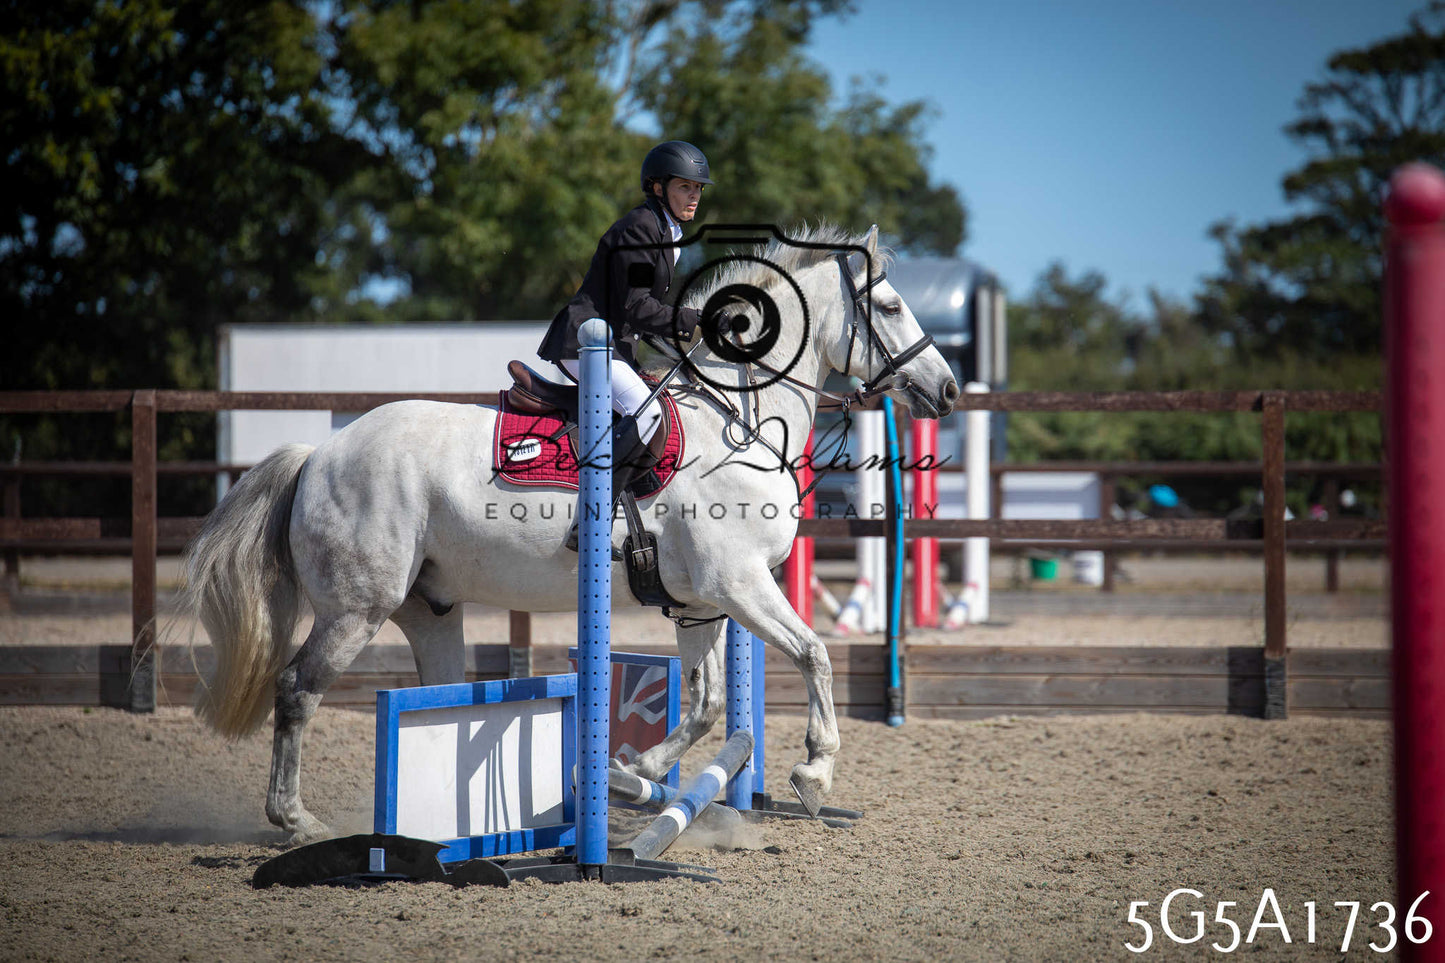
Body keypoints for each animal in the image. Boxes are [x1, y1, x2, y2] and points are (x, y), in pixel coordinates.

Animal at [181, 223, 959, 843]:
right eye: (890, 305)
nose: (948, 390)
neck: (737, 422)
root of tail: (320, 454)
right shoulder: (739, 585)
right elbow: (815, 655)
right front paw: (815, 770)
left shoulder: (703, 602)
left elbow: (707, 704)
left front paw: (631, 769)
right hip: (354, 609)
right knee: (296, 689)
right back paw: (295, 820)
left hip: (429, 608)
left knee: (433, 690)